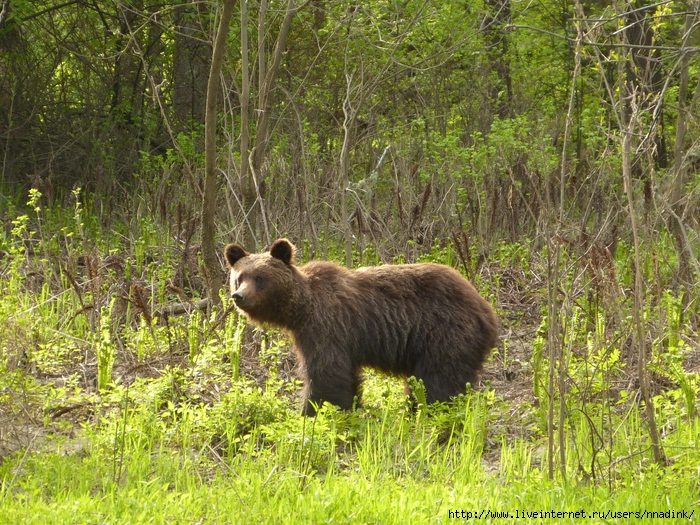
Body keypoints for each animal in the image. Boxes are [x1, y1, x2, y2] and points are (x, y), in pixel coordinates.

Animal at [223, 239, 498, 416]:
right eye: (239, 277)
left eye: (260, 278)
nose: (239, 296)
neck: (301, 310)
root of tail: (486, 309)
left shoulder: (327, 326)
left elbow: (326, 372)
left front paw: (313, 410)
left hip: (444, 332)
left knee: (439, 378)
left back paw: (429, 409)